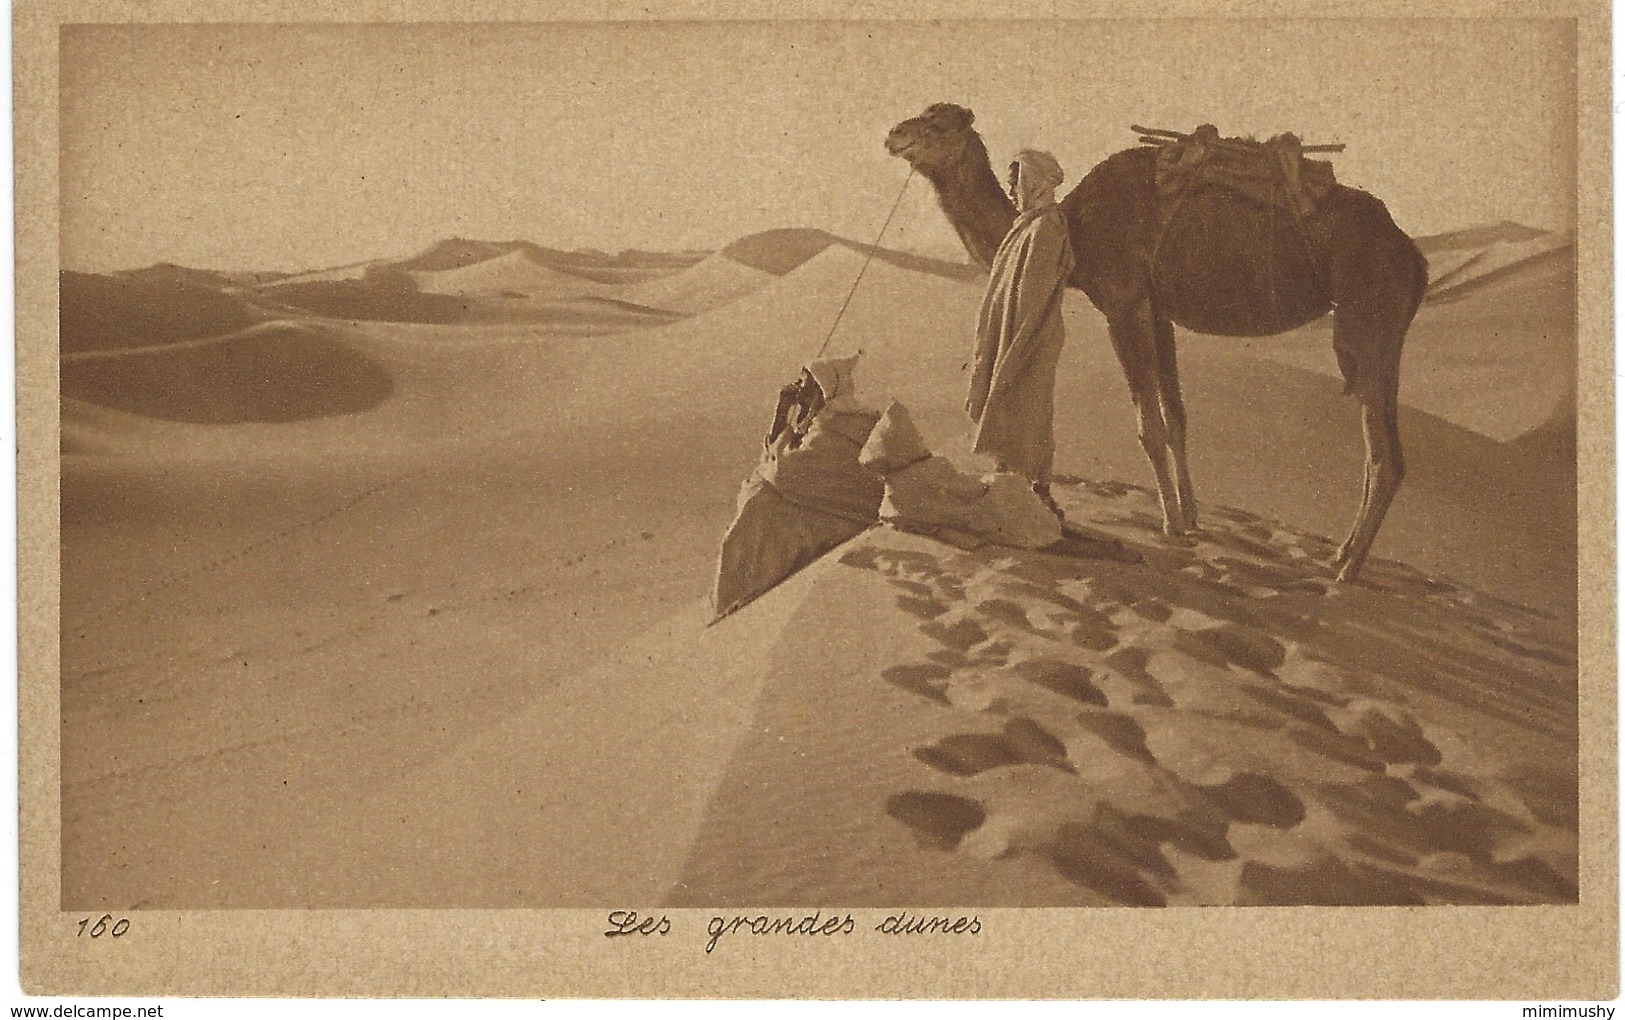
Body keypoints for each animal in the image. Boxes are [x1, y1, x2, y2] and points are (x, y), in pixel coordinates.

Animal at [884, 105, 1430, 581]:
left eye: (938, 123)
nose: (894, 134)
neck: (1076, 226)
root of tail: (1413, 256)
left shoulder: (1123, 303)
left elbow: (1148, 426)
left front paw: (1169, 525)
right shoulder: (1159, 311)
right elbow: (1177, 418)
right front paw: (1191, 518)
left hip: (1367, 319)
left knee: (1383, 455)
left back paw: (1346, 567)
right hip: (1387, 333)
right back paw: (1342, 553)